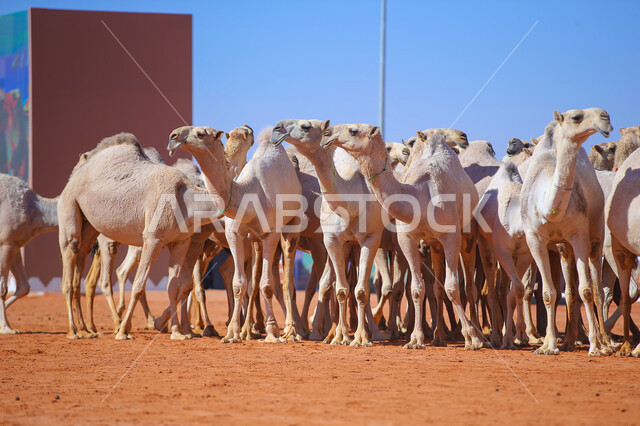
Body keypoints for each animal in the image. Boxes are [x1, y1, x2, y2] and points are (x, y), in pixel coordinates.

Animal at [58, 132, 224, 340]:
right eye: (201, 134)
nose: (174, 137)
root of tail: (77, 170)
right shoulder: (154, 238)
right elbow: (139, 285)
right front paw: (123, 332)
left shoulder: (182, 241)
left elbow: (175, 286)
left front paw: (178, 332)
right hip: (70, 205)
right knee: (74, 262)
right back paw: (79, 330)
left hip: (89, 225)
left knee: (81, 259)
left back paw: (87, 330)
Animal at [168, 125, 304, 343]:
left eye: (200, 134)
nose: (173, 136)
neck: (249, 194)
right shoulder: (234, 235)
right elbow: (238, 283)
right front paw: (233, 332)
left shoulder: (271, 234)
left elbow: (266, 285)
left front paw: (271, 332)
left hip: (291, 225)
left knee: (286, 276)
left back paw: (292, 330)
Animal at [272, 119, 391, 346]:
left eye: (306, 126)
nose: (276, 129)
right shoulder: (331, 240)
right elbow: (340, 289)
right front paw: (340, 337)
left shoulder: (371, 238)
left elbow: (361, 290)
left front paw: (361, 338)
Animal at [326, 124, 483, 350]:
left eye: (353, 130)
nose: (328, 133)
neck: (421, 197)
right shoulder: (406, 239)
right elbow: (417, 289)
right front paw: (415, 339)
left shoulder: (451, 237)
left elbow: (452, 287)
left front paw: (471, 338)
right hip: (434, 245)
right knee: (436, 286)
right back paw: (438, 336)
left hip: (467, 235)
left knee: (469, 287)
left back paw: (477, 334)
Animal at [520, 108, 613, 355]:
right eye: (576, 117)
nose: (605, 117)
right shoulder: (535, 239)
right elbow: (548, 293)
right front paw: (549, 345)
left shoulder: (579, 236)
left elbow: (586, 290)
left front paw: (594, 346)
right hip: (563, 248)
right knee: (569, 289)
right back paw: (568, 340)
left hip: (596, 234)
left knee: (597, 289)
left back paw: (605, 342)